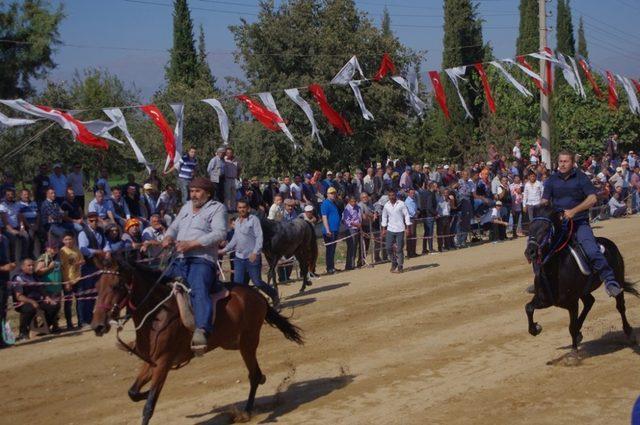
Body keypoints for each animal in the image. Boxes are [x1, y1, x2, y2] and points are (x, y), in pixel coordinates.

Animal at [88, 252, 304, 424]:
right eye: (97, 286)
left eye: (116, 286)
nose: (97, 325)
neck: (158, 313)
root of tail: (257, 296)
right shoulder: (152, 361)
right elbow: (132, 392)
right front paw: (143, 393)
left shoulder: (163, 362)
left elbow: (149, 406)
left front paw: (148, 397)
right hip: (233, 343)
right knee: (256, 375)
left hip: (247, 343)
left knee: (255, 375)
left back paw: (246, 413)